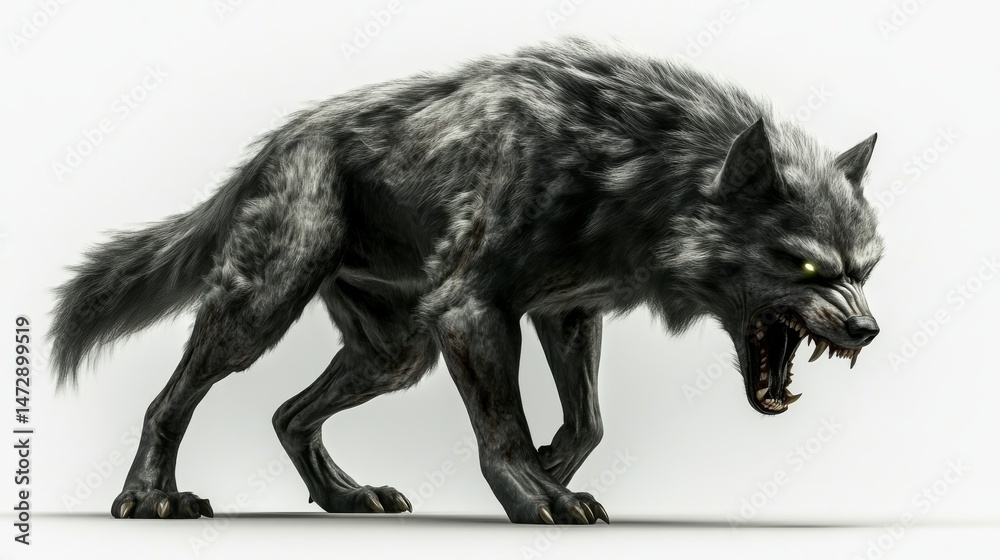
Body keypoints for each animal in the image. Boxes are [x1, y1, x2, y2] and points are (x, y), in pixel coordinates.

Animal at [48, 38, 883, 525]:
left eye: (867, 268)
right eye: (807, 265)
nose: (868, 330)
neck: (630, 170)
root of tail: (273, 145)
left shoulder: (567, 313)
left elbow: (587, 422)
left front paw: (551, 470)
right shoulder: (473, 312)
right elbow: (502, 426)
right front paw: (536, 495)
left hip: (395, 355)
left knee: (287, 414)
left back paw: (346, 497)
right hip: (264, 308)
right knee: (170, 400)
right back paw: (150, 497)